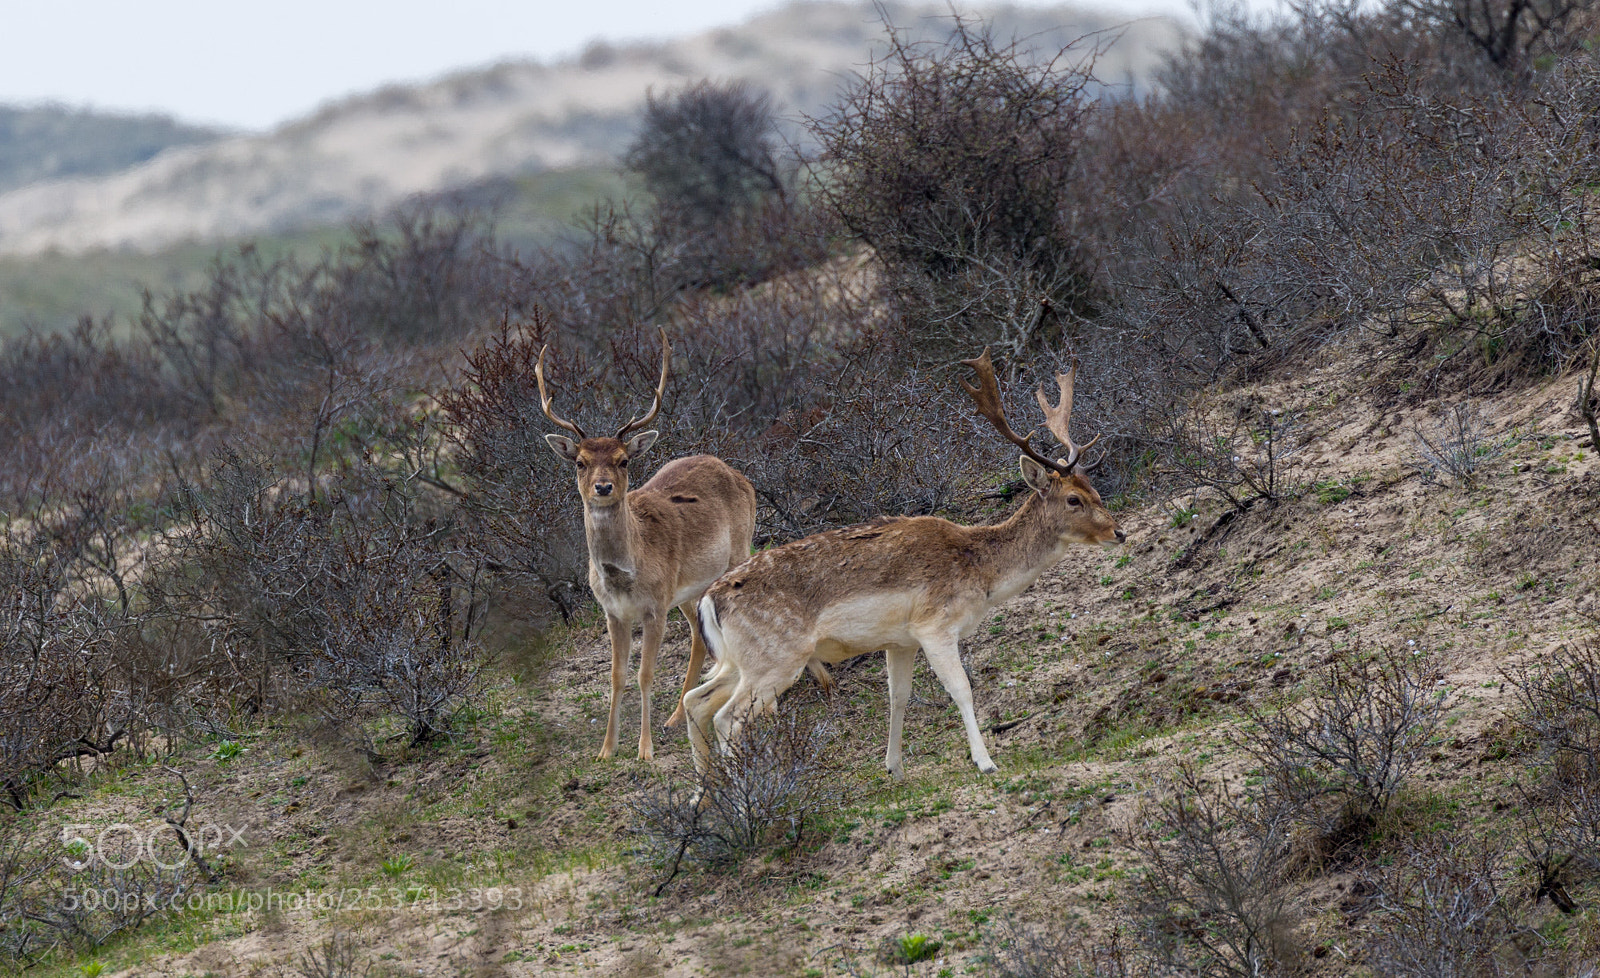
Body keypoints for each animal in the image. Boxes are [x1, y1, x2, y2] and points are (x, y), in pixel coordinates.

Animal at [537, 329, 832, 761]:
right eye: (580, 461)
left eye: (623, 460)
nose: (603, 487)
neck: (624, 574)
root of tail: (737, 473)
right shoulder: (612, 612)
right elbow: (616, 676)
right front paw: (607, 749)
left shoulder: (655, 605)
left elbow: (645, 674)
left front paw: (644, 750)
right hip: (691, 589)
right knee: (697, 636)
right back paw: (677, 716)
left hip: (738, 549)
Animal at [683, 347, 1125, 782]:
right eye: (1073, 499)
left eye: (1093, 488)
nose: (1118, 532)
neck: (980, 574)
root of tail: (709, 601)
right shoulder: (935, 626)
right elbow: (961, 689)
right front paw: (985, 761)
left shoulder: (900, 640)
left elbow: (898, 697)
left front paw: (894, 767)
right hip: (775, 659)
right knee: (727, 718)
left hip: (737, 660)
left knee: (695, 700)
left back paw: (704, 794)